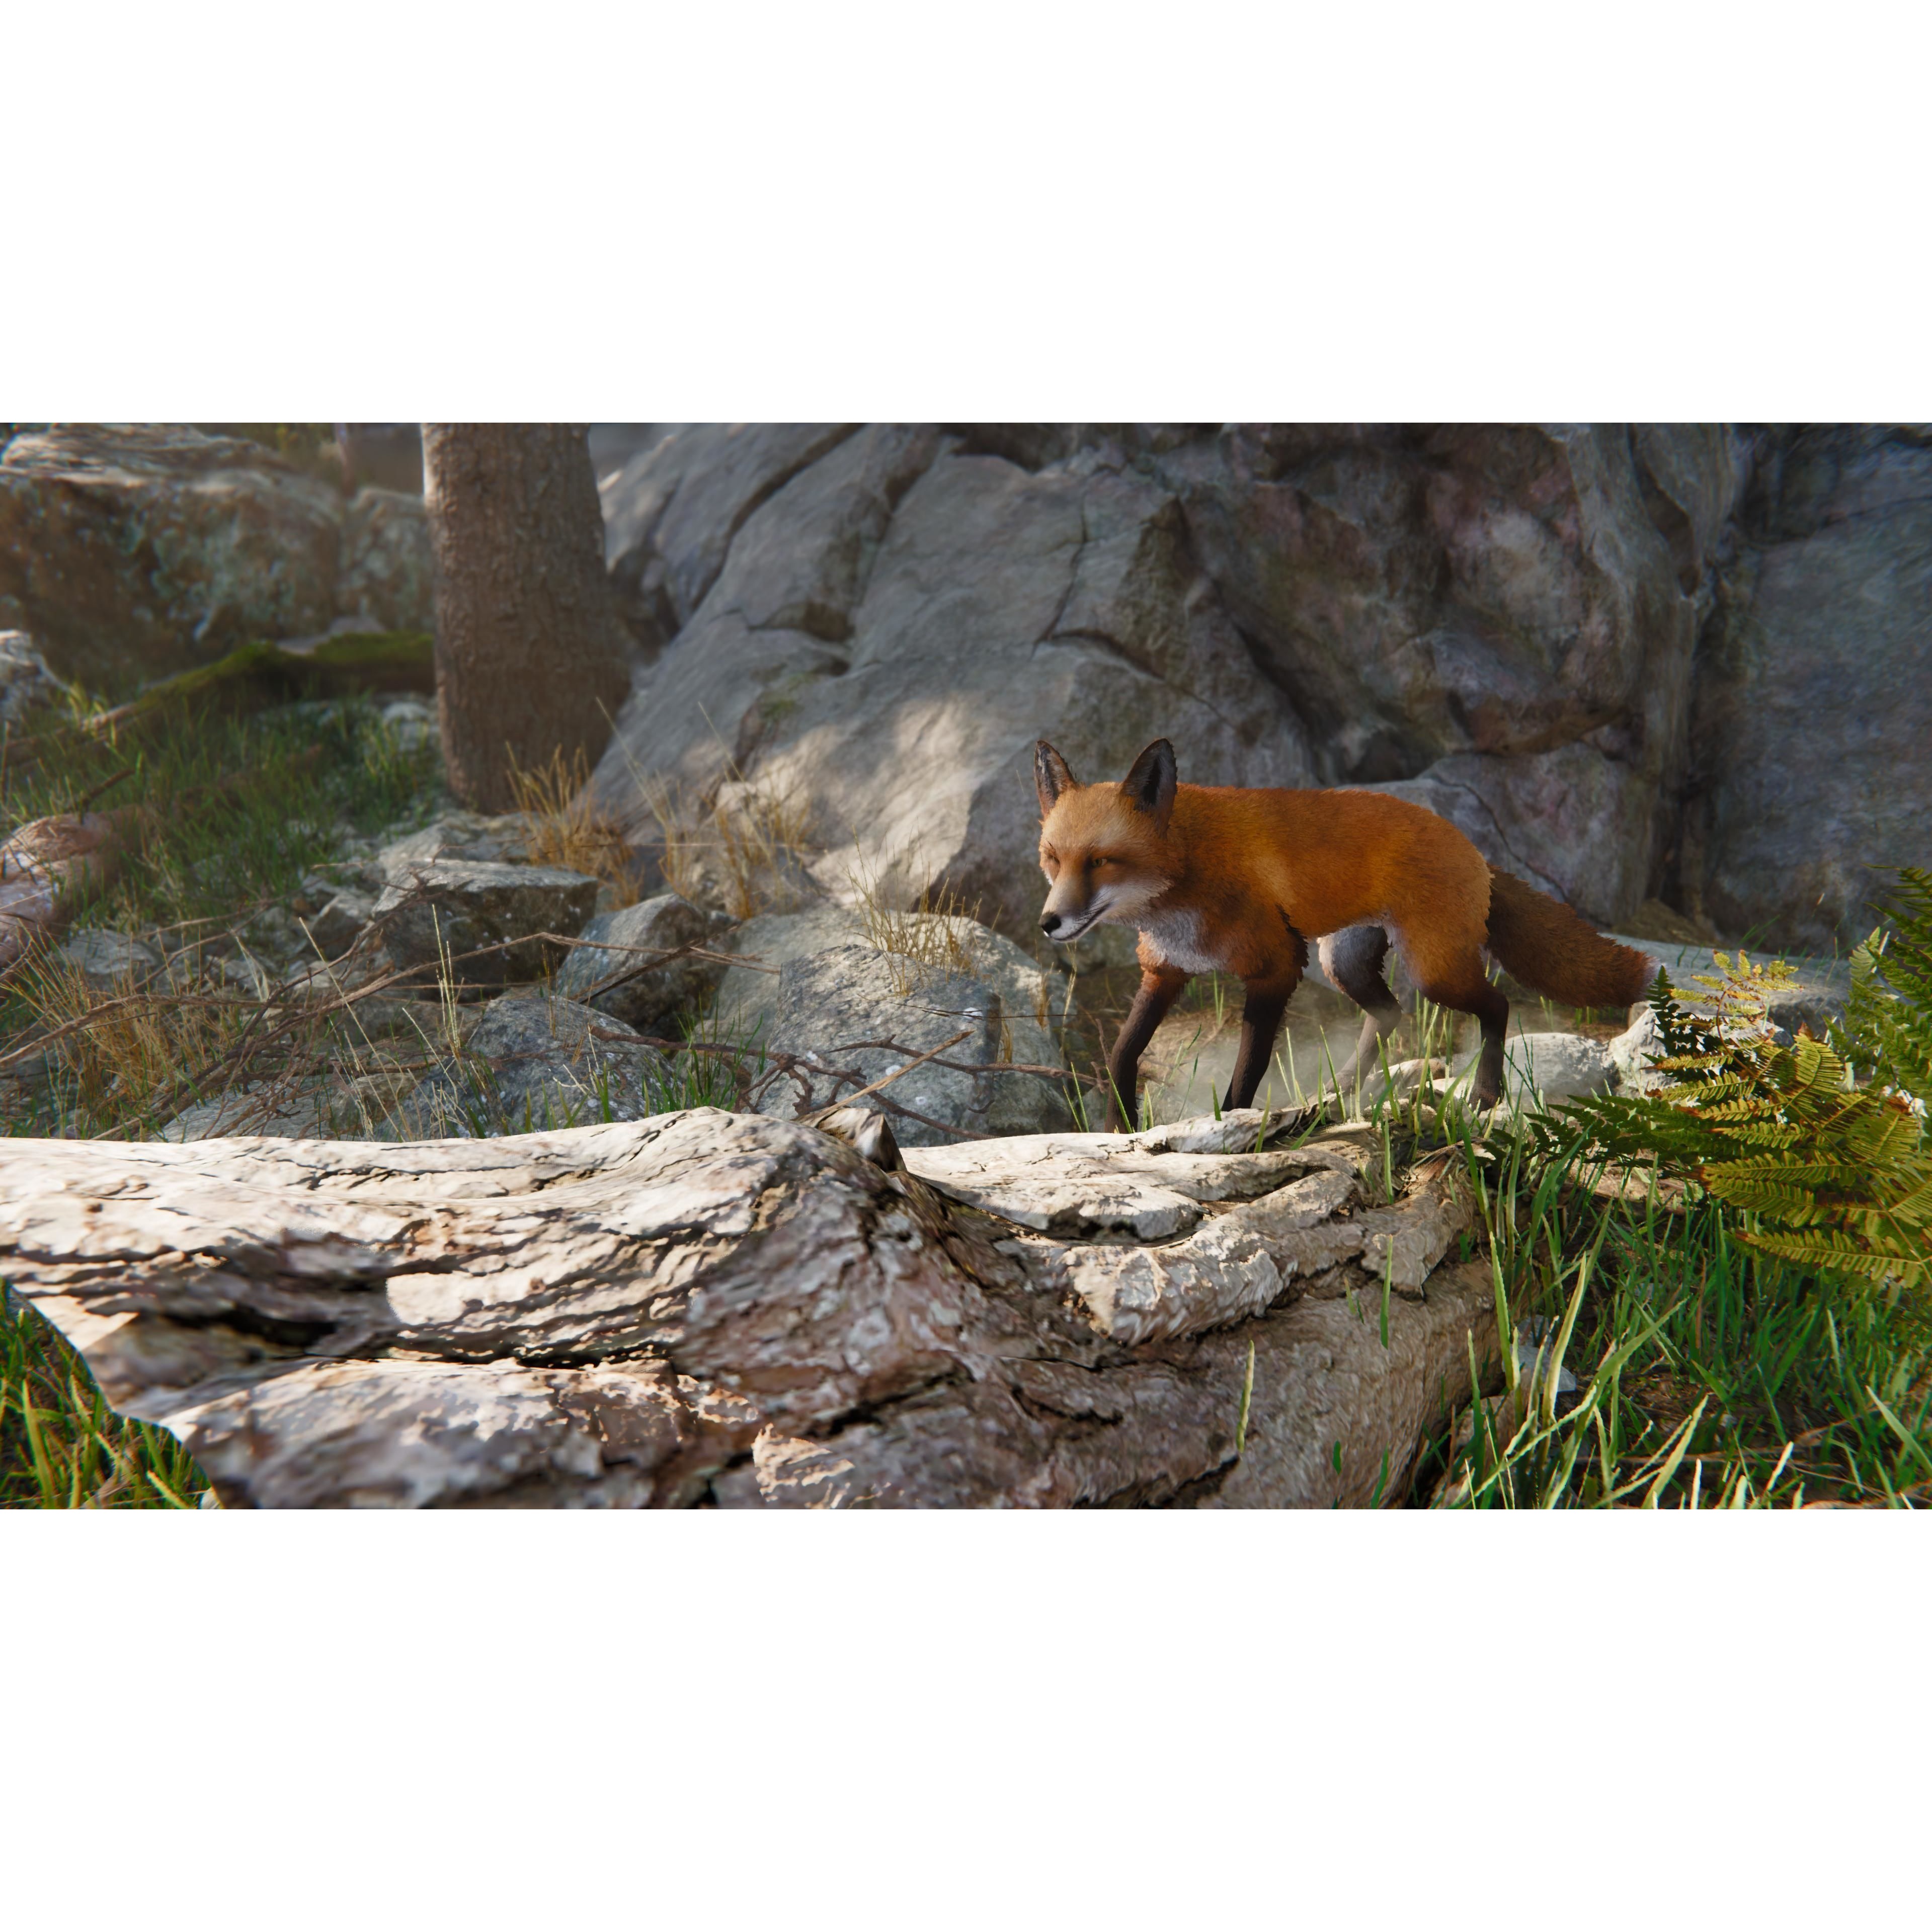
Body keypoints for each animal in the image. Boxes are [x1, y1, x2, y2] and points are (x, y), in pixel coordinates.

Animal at [1034, 737, 1656, 1129]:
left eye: (1101, 862)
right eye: (1053, 859)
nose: (1047, 923)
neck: (1188, 869)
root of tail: (1477, 852)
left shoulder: (1276, 968)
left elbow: (1247, 1072)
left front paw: (1231, 1126)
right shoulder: (1165, 968)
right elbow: (1122, 1053)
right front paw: (1119, 1127)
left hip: (1432, 971)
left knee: (1495, 1005)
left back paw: (1484, 1095)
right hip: (1345, 964)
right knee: (1388, 1016)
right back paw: (1336, 1098)